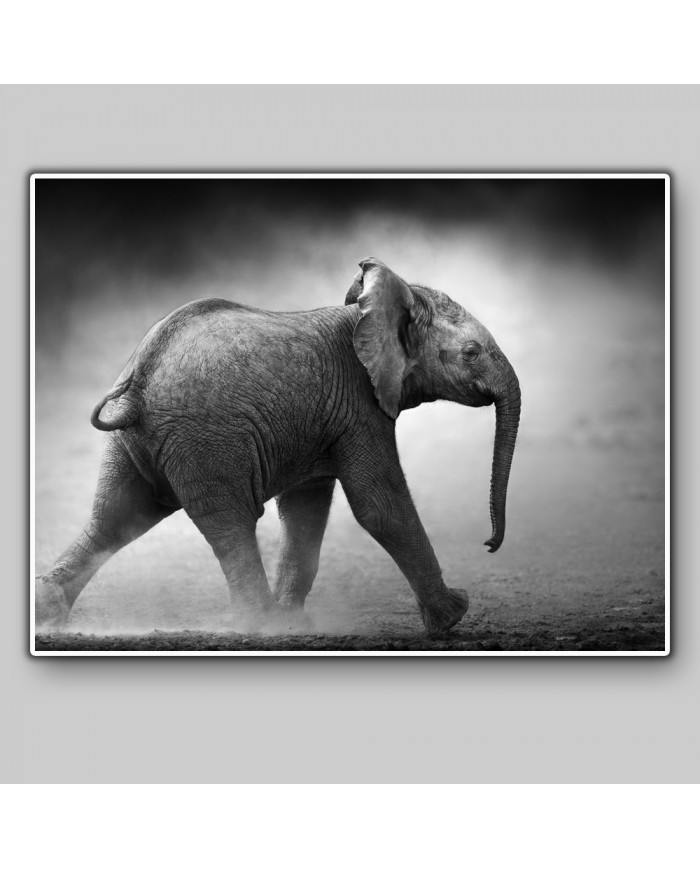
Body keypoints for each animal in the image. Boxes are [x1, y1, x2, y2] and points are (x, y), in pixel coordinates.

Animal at [35, 257, 521, 637]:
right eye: (472, 352)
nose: (489, 545)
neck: (370, 311)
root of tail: (139, 378)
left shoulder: (325, 419)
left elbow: (306, 510)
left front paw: (295, 625)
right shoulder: (361, 406)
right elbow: (381, 506)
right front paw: (454, 614)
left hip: (140, 440)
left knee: (117, 518)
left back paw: (46, 615)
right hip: (208, 439)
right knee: (229, 523)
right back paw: (259, 625)